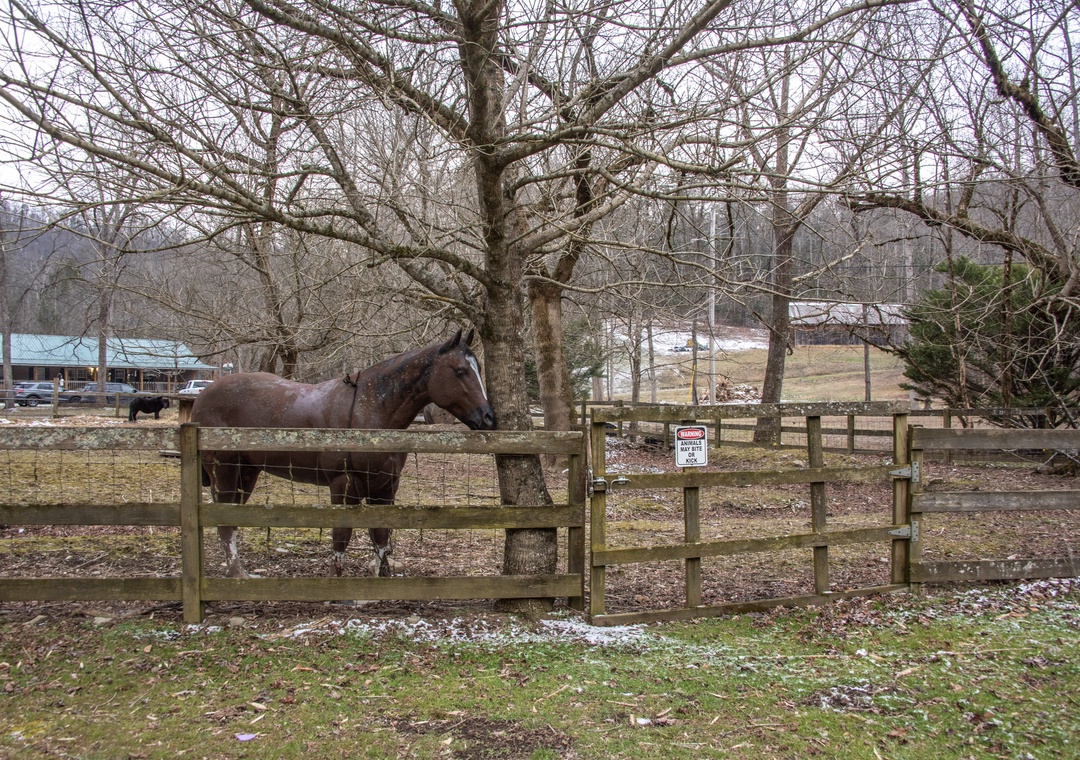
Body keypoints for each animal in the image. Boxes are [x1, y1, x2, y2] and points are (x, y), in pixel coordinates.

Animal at [190, 329, 496, 578]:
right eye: (459, 371)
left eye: (477, 368)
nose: (489, 417)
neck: (369, 410)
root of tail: (202, 397)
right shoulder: (344, 483)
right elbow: (341, 535)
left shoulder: (384, 486)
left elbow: (381, 536)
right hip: (224, 470)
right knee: (224, 523)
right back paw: (237, 573)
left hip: (247, 473)